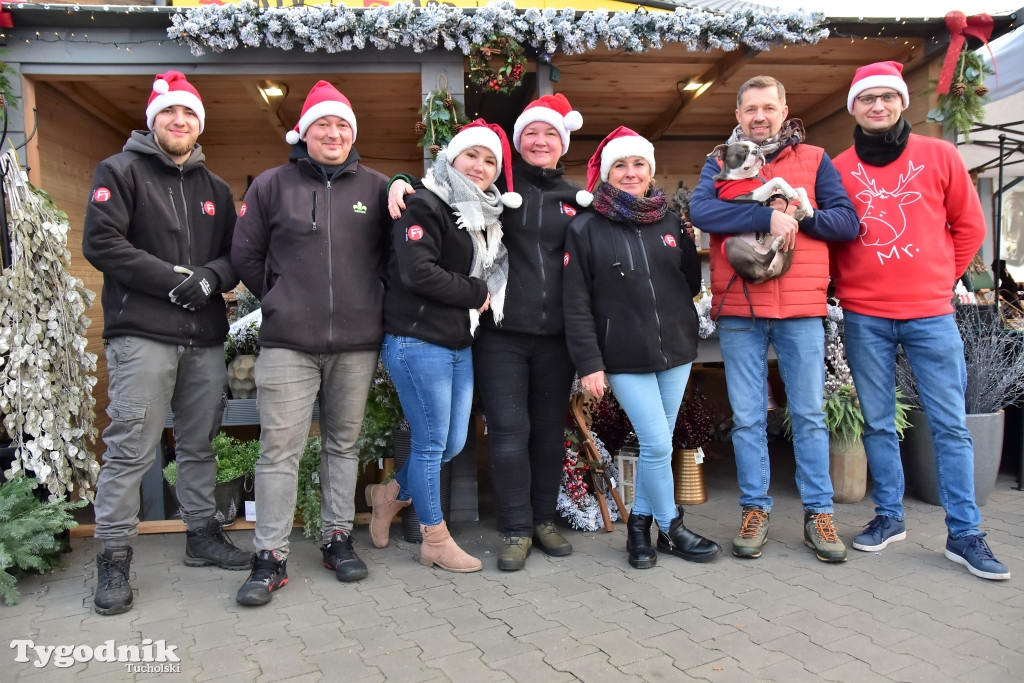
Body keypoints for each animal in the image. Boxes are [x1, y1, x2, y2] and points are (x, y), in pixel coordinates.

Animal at [708, 143, 811, 284]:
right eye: (743, 150)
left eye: (757, 147)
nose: (757, 151)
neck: (746, 178)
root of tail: (767, 275)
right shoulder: (744, 199)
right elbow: (776, 179)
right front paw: (791, 192)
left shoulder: (774, 196)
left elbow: (800, 189)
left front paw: (807, 207)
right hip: (732, 244)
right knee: (764, 259)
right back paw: (777, 243)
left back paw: (796, 217)